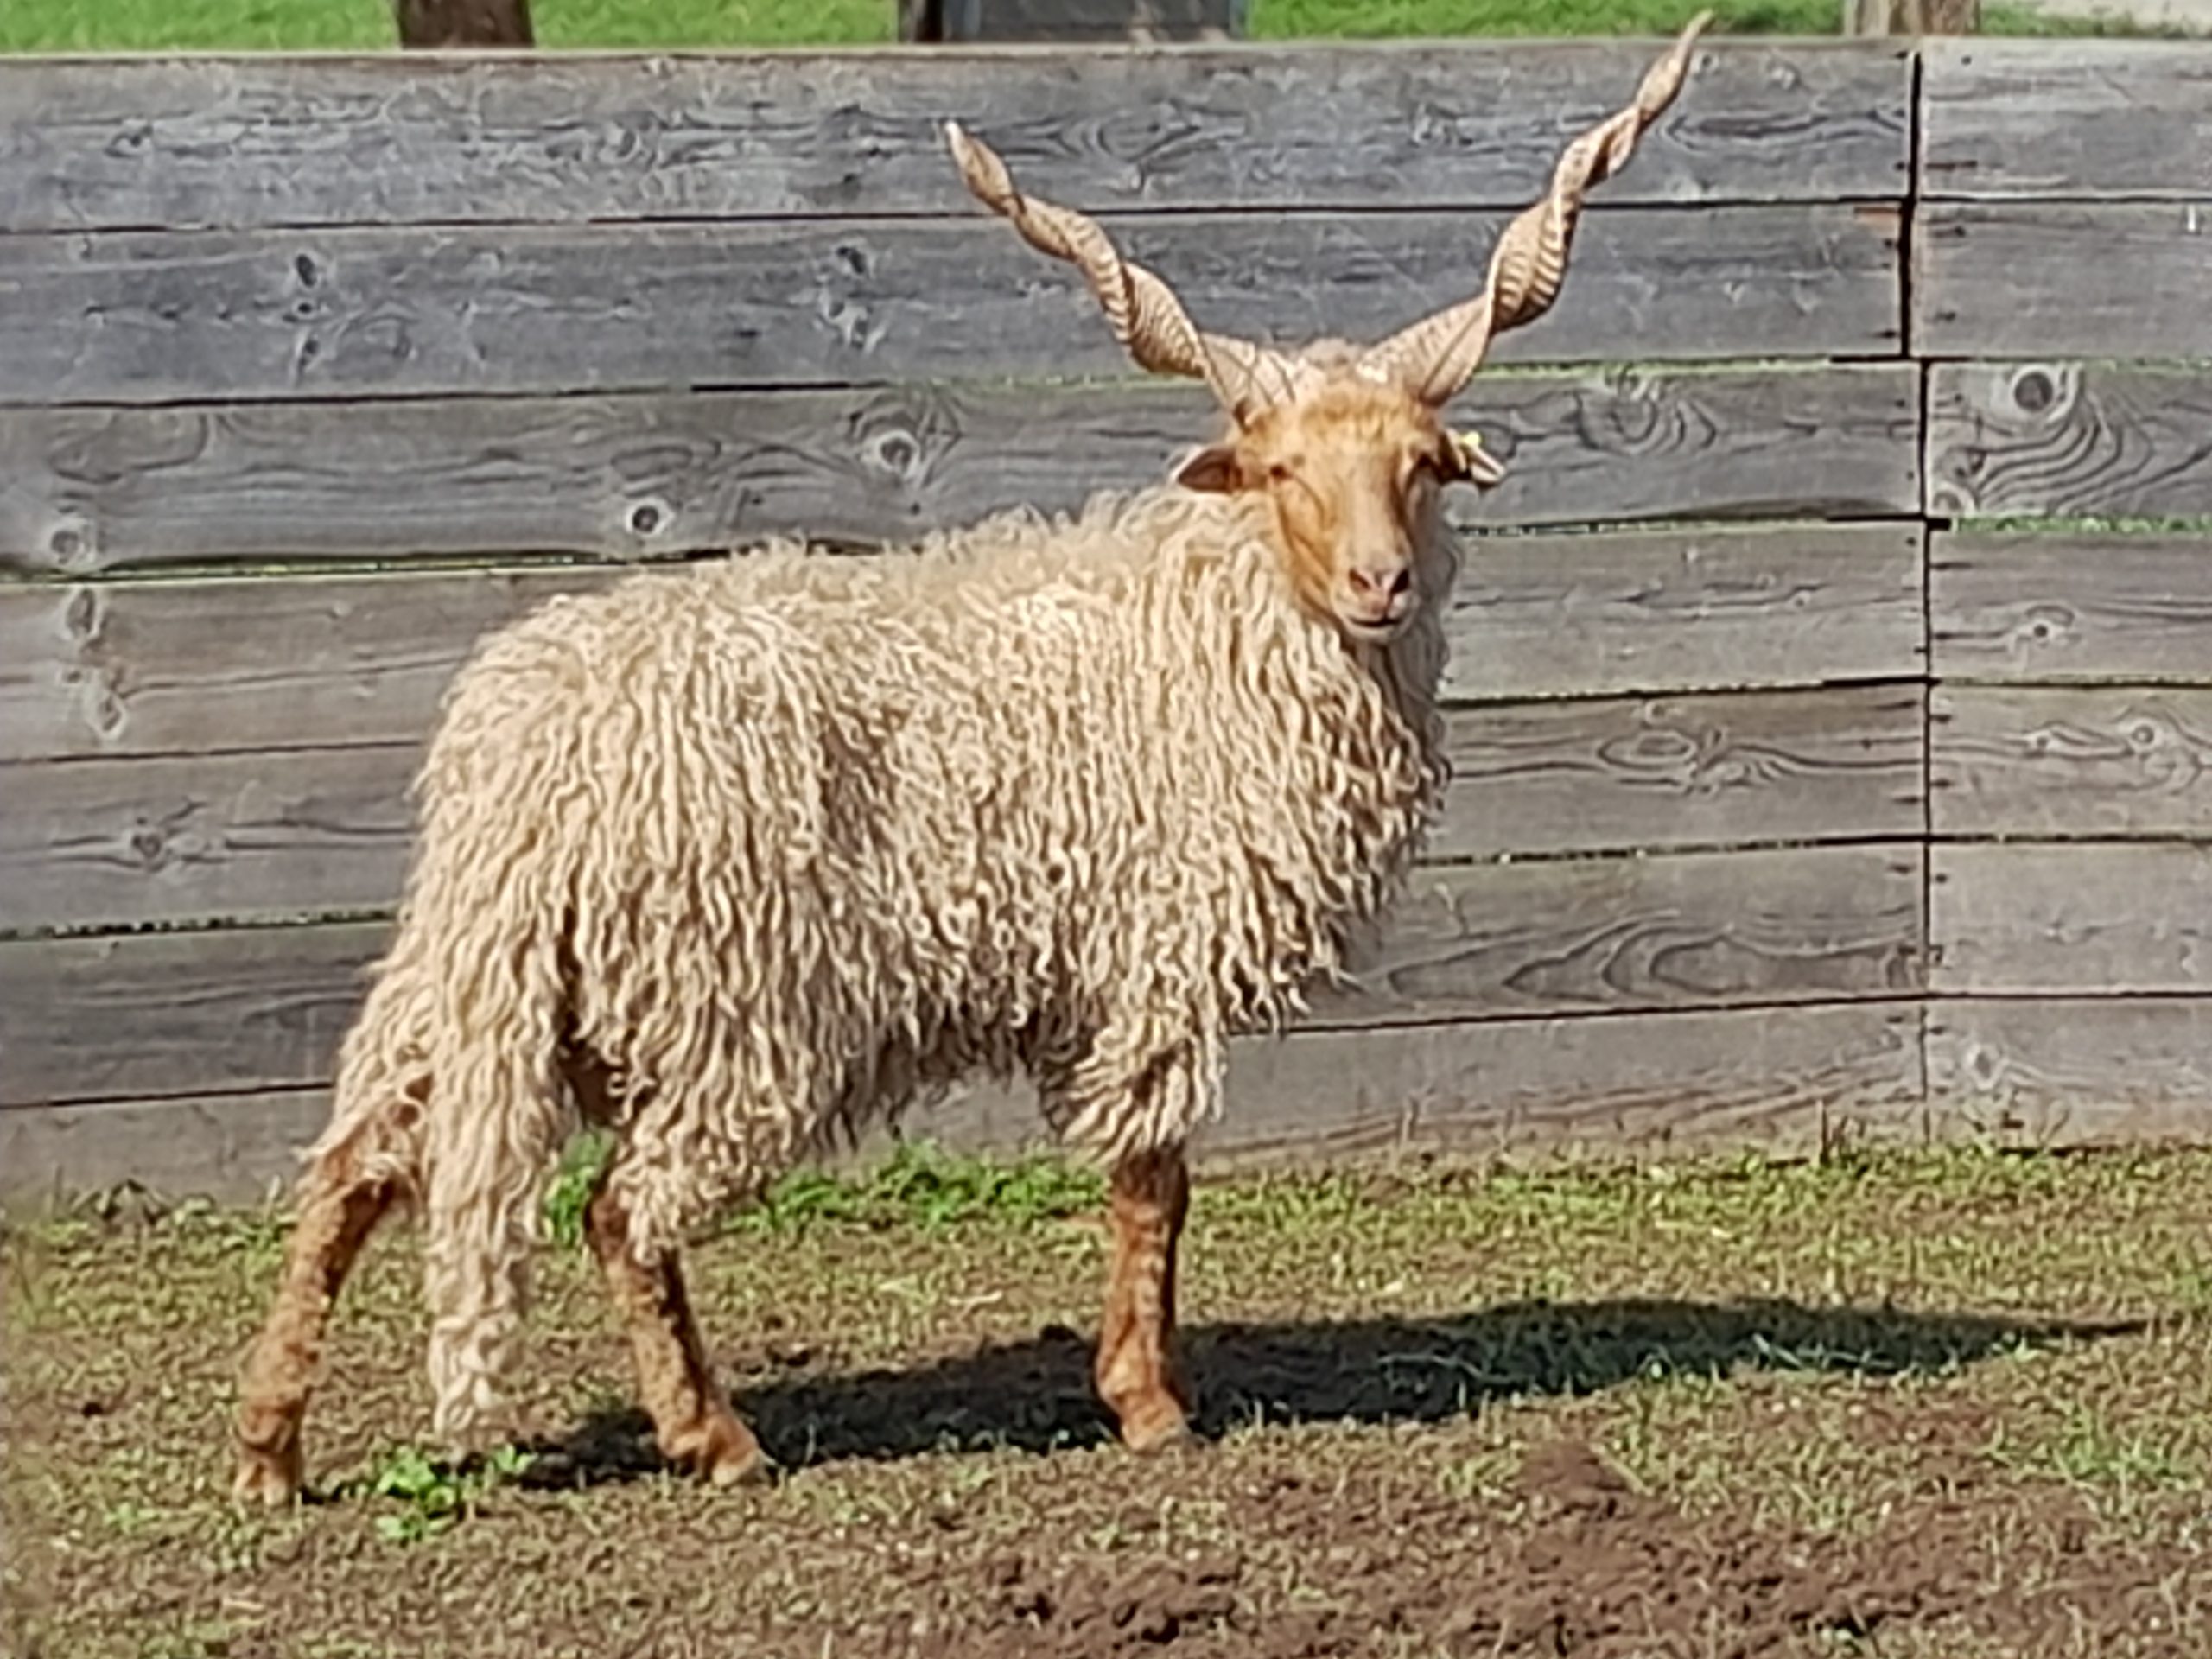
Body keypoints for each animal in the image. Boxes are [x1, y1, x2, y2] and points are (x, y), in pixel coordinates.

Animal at [228, 13, 1707, 1513]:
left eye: (1419, 463)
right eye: (1282, 468)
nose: (1380, 584)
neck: (1205, 624)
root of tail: (525, 750)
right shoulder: (1153, 953)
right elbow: (1152, 1182)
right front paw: (1149, 1403)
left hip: (465, 986)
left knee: (350, 1174)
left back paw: (268, 1452)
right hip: (728, 1008)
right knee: (620, 1209)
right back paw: (715, 1438)